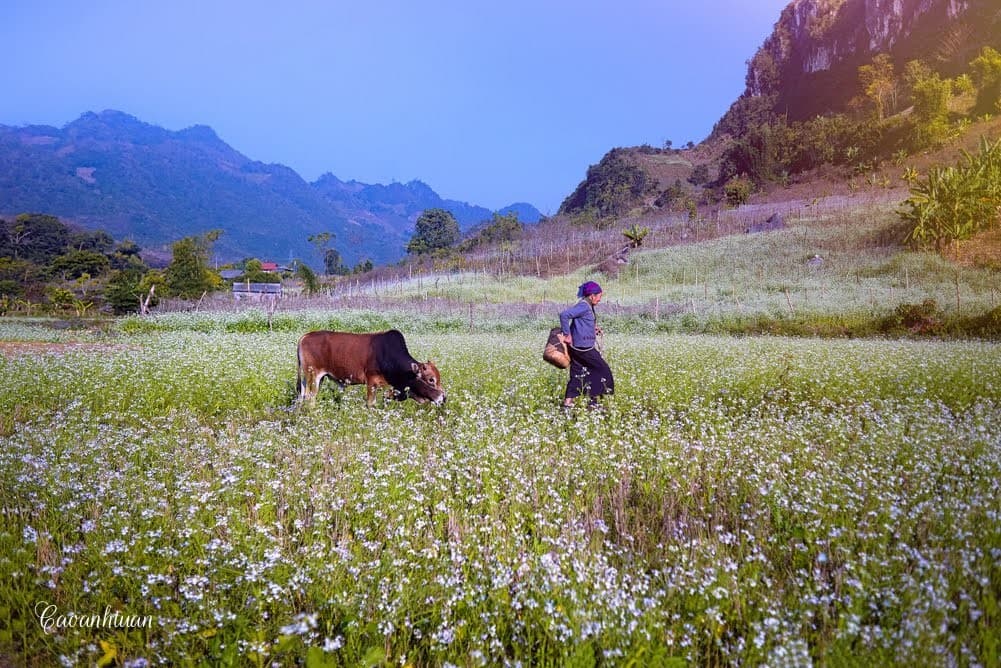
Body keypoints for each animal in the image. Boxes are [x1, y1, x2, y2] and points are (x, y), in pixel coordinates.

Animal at [292, 330, 442, 408]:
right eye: (431, 379)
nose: (443, 398)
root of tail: (305, 336)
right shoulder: (371, 381)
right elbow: (371, 404)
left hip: (308, 378)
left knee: (302, 397)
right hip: (313, 376)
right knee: (310, 398)